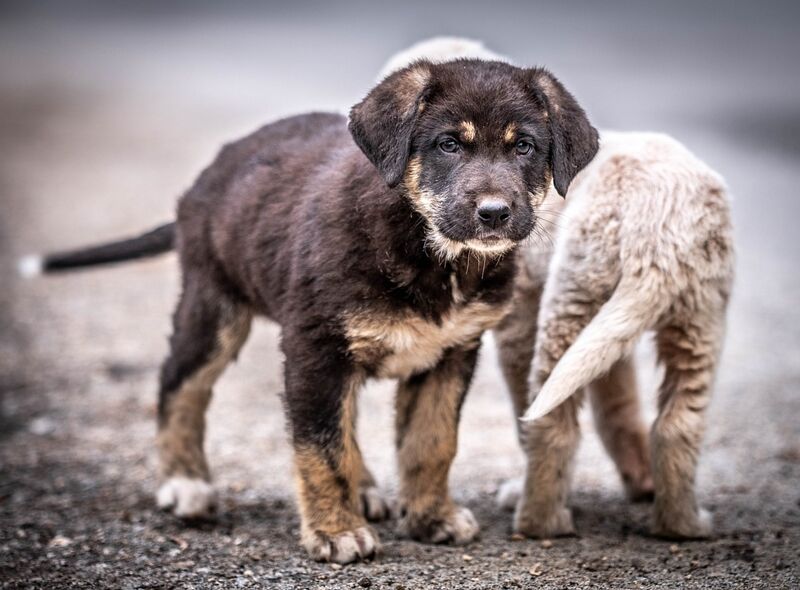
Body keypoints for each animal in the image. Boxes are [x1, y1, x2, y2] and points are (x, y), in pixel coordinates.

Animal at [20, 60, 600, 564]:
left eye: (524, 146)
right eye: (448, 144)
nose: (494, 214)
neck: (429, 251)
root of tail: (207, 178)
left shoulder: (451, 352)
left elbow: (431, 442)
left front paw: (431, 518)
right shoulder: (313, 348)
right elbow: (320, 448)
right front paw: (335, 532)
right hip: (213, 307)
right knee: (179, 384)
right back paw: (184, 482)